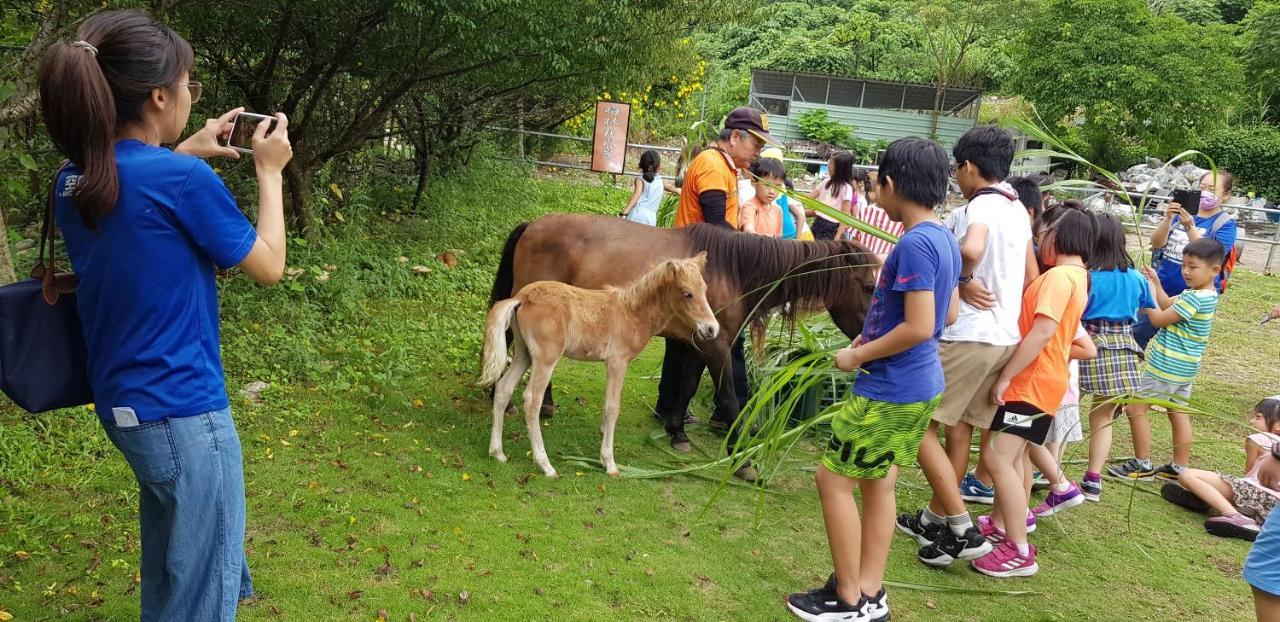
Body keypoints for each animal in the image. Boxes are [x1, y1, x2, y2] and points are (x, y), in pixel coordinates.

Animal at [481, 252, 721, 476]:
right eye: (687, 293)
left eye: (704, 290)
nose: (711, 329)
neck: (632, 312)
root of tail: (522, 296)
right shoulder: (618, 363)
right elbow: (612, 407)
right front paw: (610, 463)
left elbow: (607, 406)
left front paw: (603, 434)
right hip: (545, 359)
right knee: (532, 400)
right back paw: (545, 465)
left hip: (524, 354)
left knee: (503, 388)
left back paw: (497, 452)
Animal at [488, 213, 880, 453]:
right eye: (868, 286)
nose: (869, 341)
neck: (732, 270)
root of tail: (532, 226)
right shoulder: (719, 347)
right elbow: (731, 397)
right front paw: (742, 459)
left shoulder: (700, 342)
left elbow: (688, 386)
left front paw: (676, 430)